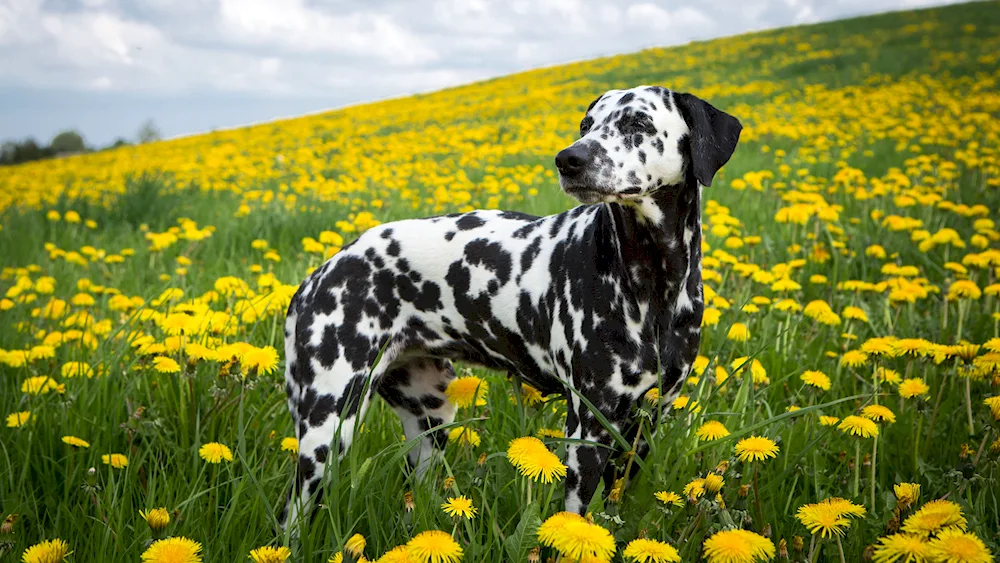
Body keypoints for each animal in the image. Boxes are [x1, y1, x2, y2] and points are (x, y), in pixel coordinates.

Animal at [282, 85, 744, 528]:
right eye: (586, 124)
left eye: (638, 122)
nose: (569, 158)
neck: (652, 282)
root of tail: (319, 275)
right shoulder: (588, 430)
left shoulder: (642, 428)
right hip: (327, 433)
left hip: (430, 419)